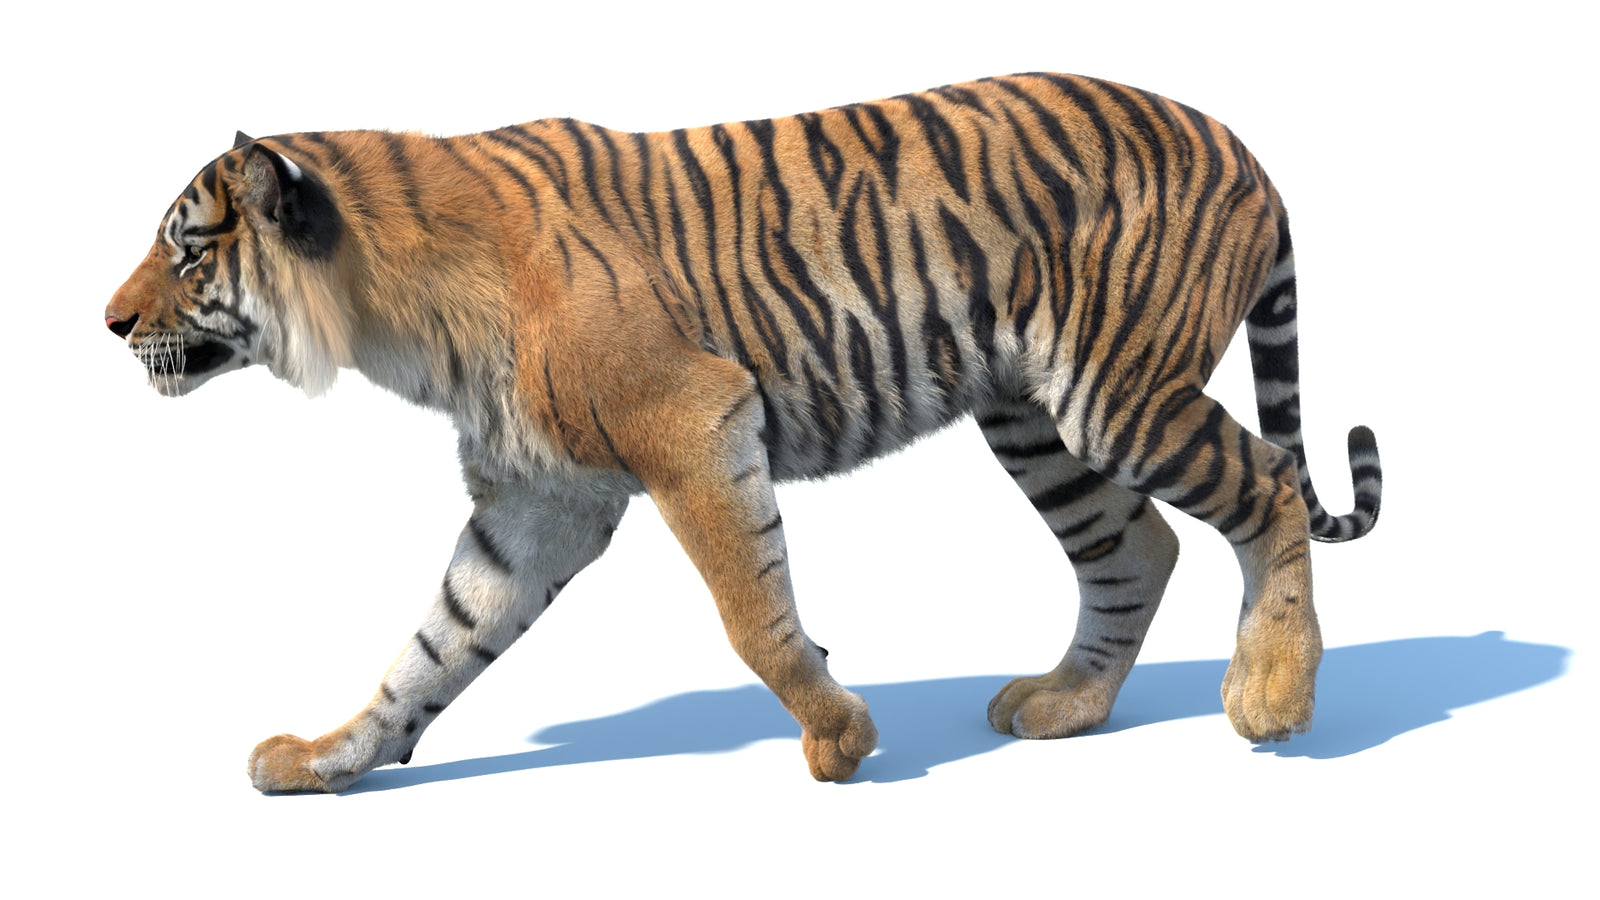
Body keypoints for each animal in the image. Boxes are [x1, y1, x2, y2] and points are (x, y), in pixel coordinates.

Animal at [106, 73, 1382, 793]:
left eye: (187, 248)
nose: (108, 323)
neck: (387, 314)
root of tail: (1241, 143)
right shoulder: (537, 499)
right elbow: (433, 645)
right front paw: (328, 761)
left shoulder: (694, 422)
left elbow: (750, 613)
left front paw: (837, 738)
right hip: (1033, 416)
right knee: (1138, 546)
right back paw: (1064, 705)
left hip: (1115, 391)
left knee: (1267, 486)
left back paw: (1271, 698)